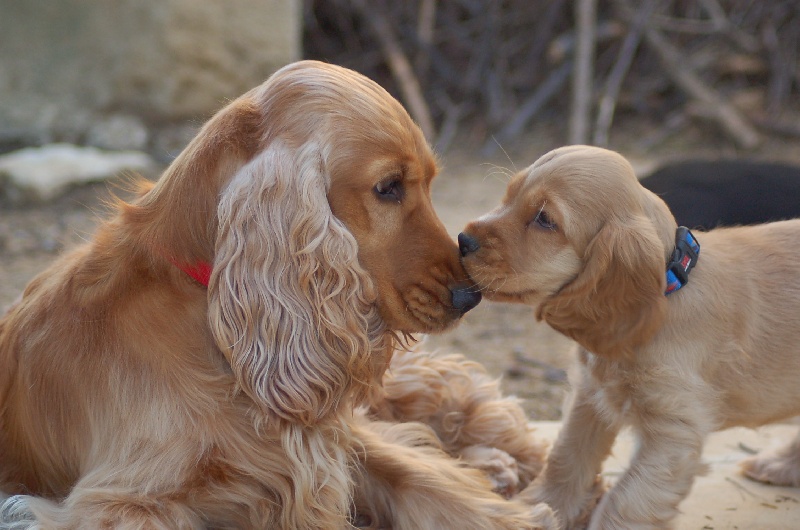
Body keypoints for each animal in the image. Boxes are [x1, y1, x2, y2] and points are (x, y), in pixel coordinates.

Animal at [456, 142, 800, 524]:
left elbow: (626, 500)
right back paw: (780, 465)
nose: (462, 240)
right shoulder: (591, 396)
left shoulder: (674, 429)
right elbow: (566, 458)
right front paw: (533, 509)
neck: (671, 290)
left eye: (545, 220)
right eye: (510, 195)